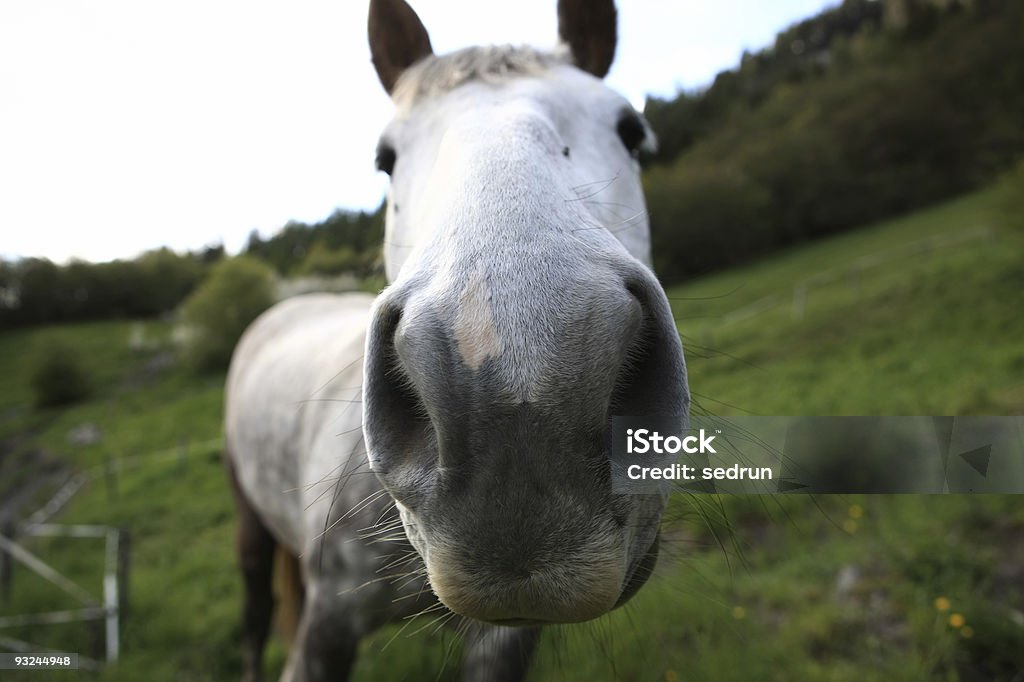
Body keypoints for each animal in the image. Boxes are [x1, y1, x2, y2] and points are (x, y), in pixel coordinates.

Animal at [223, 2, 688, 675]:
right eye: (385, 157)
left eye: (631, 130)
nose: (520, 412)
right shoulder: (326, 625)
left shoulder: (506, 638)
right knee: (257, 614)